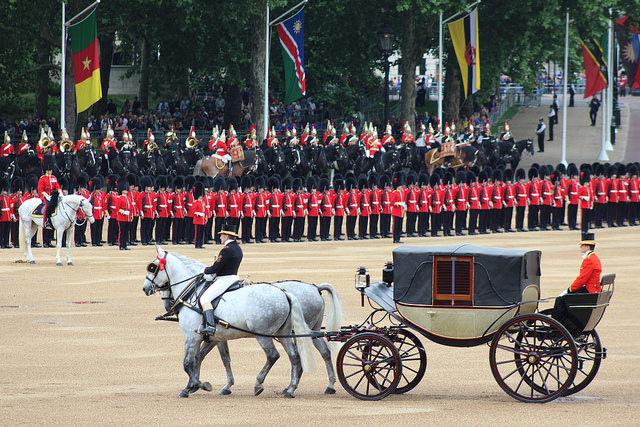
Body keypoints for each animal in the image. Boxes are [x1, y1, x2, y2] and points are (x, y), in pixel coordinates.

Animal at [144, 246, 342, 400]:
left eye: (153, 268)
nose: (146, 289)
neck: (195, 293)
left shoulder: (193, 336)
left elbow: (188, 362)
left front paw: (194, 385)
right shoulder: (215, 338)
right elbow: (214, 359)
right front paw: (205, 385)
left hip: (266, 335)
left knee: (275, 356)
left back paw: (260, 384)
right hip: (295, 332)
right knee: (307, 354)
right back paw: (301, 387)